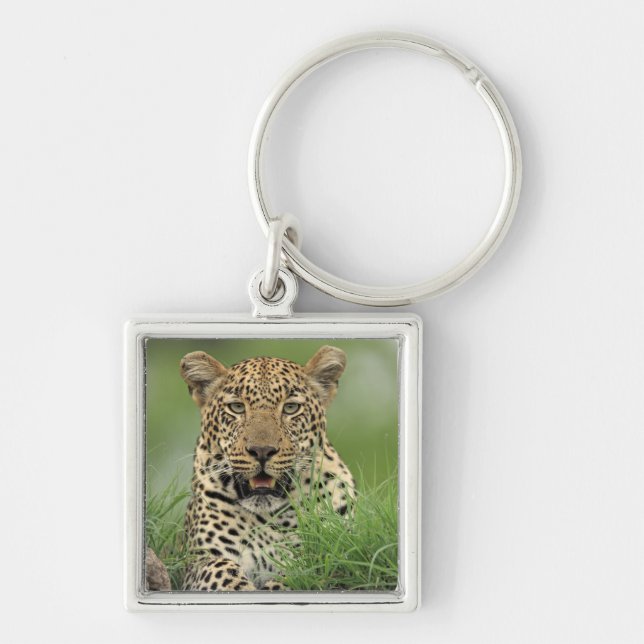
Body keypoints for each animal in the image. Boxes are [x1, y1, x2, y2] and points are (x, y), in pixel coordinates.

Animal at [179, 345, 355, 591]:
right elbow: (220, 570)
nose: (261, 451)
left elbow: (296, 574)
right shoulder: (198, 561)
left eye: (291, 408)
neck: (269, 518)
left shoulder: (332, 553)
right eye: (237, 407)